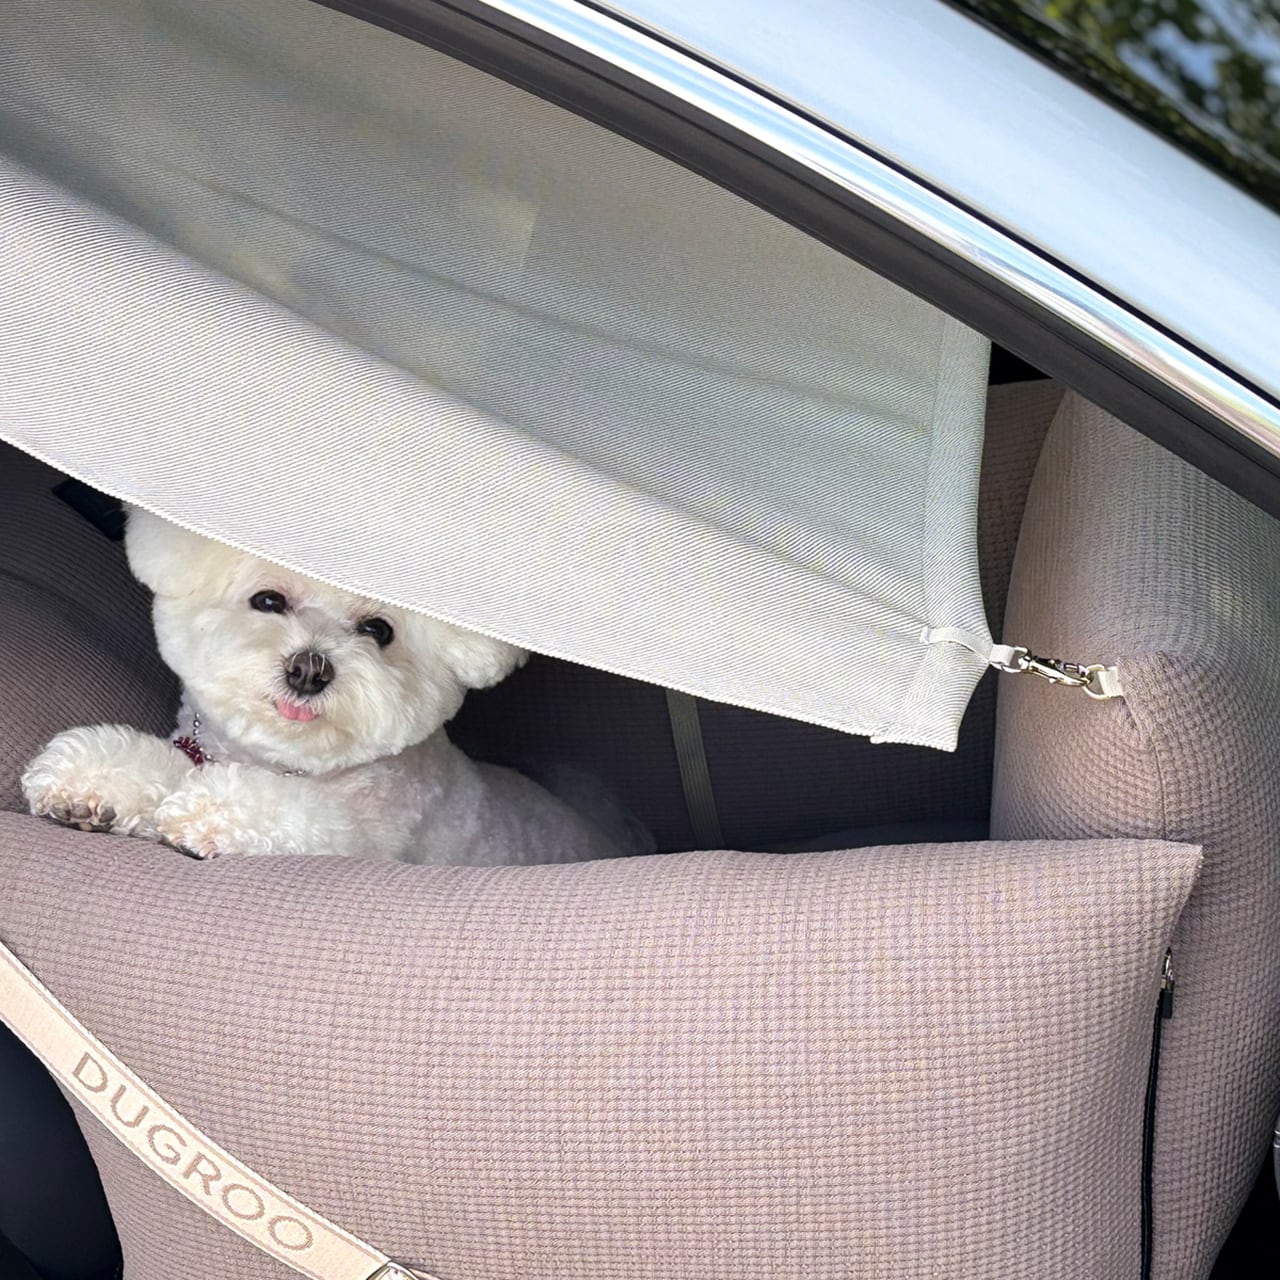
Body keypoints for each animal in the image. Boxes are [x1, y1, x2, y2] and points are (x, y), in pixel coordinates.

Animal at [22, 507, 622, 863]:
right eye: (268, 600)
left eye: (379, 630)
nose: (309, 669)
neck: (286, 764)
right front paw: (91, 778)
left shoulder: (359, 836)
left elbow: (302, 815)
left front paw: (206, 810)